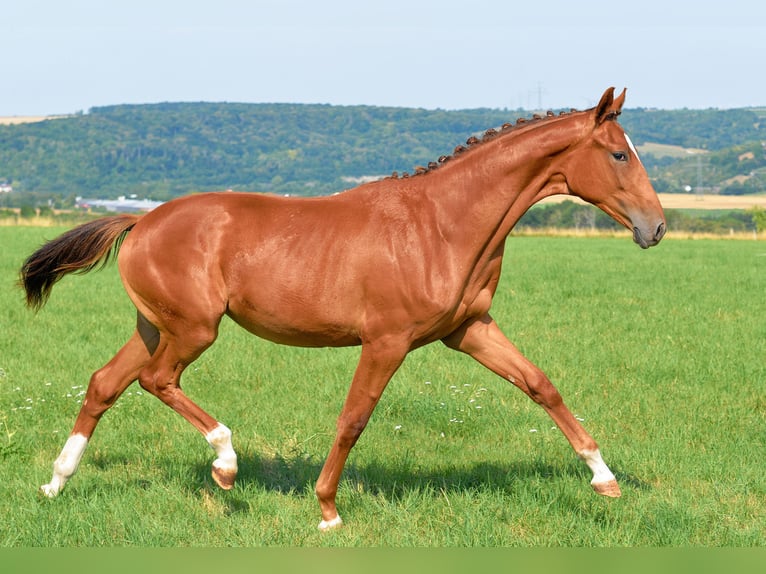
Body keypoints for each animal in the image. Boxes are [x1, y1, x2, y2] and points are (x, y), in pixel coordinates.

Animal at [20, 87, 665, 530]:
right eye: (618, 155)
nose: (655, 228)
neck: (442, 224)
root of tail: (141, 220)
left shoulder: (469, 330)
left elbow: (540, 384)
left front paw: (604, 479)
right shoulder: (387, 340)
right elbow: (354, 418)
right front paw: (328, 510)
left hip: (157, 327)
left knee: (105, 383)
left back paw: (55, 483)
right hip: (194, 330)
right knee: (155, 381)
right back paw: (226, 463)